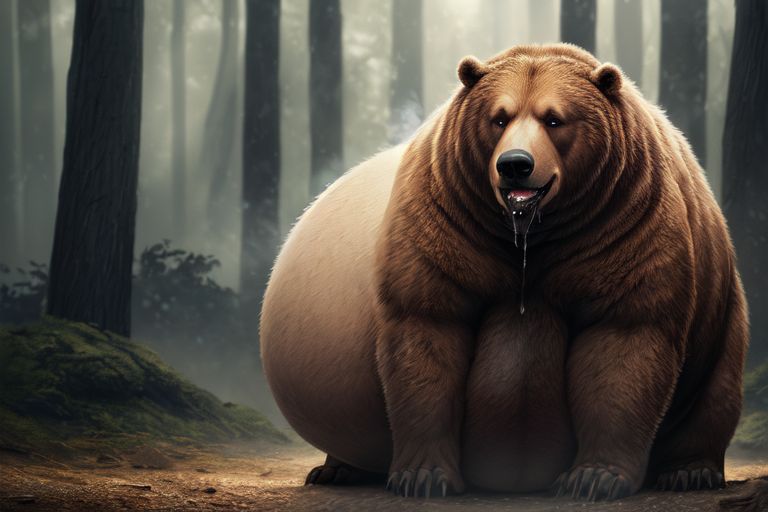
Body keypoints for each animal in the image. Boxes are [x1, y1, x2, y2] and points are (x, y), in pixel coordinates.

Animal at [260, 44, 748, 501]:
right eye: (499, 117)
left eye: (554, 119)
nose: (515, 164)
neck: (531, 233)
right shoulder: (445, 223)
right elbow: (427, 333)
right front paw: (424, 476)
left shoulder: (626, 224)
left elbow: (625, 340)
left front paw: (594, 478)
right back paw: (336, 470)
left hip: (724, 309)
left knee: (715, 393)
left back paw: (689, 471)